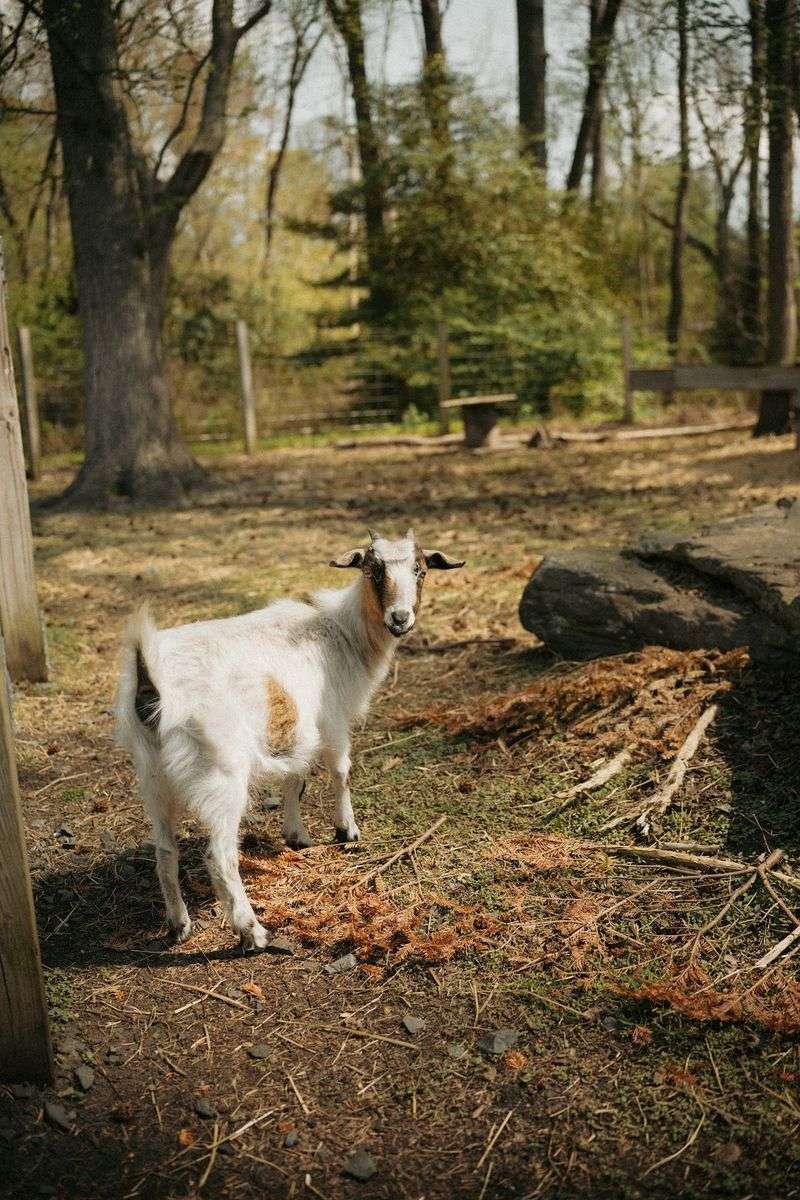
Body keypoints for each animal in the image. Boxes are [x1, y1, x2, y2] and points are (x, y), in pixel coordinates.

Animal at [115, 529, 464, 950]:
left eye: (420, 570)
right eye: (374, 571)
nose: (400, 618)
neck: (341, 633)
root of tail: (151, 684)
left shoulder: (300, 728)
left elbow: (295, 778)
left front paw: (296, 836)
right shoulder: (332, 719)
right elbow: (340, 771)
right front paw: (346, 831)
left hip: (152, 775)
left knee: (166, 851)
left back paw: (179, 924)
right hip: (220, 773)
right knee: (219, 857)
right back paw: (252, 932)